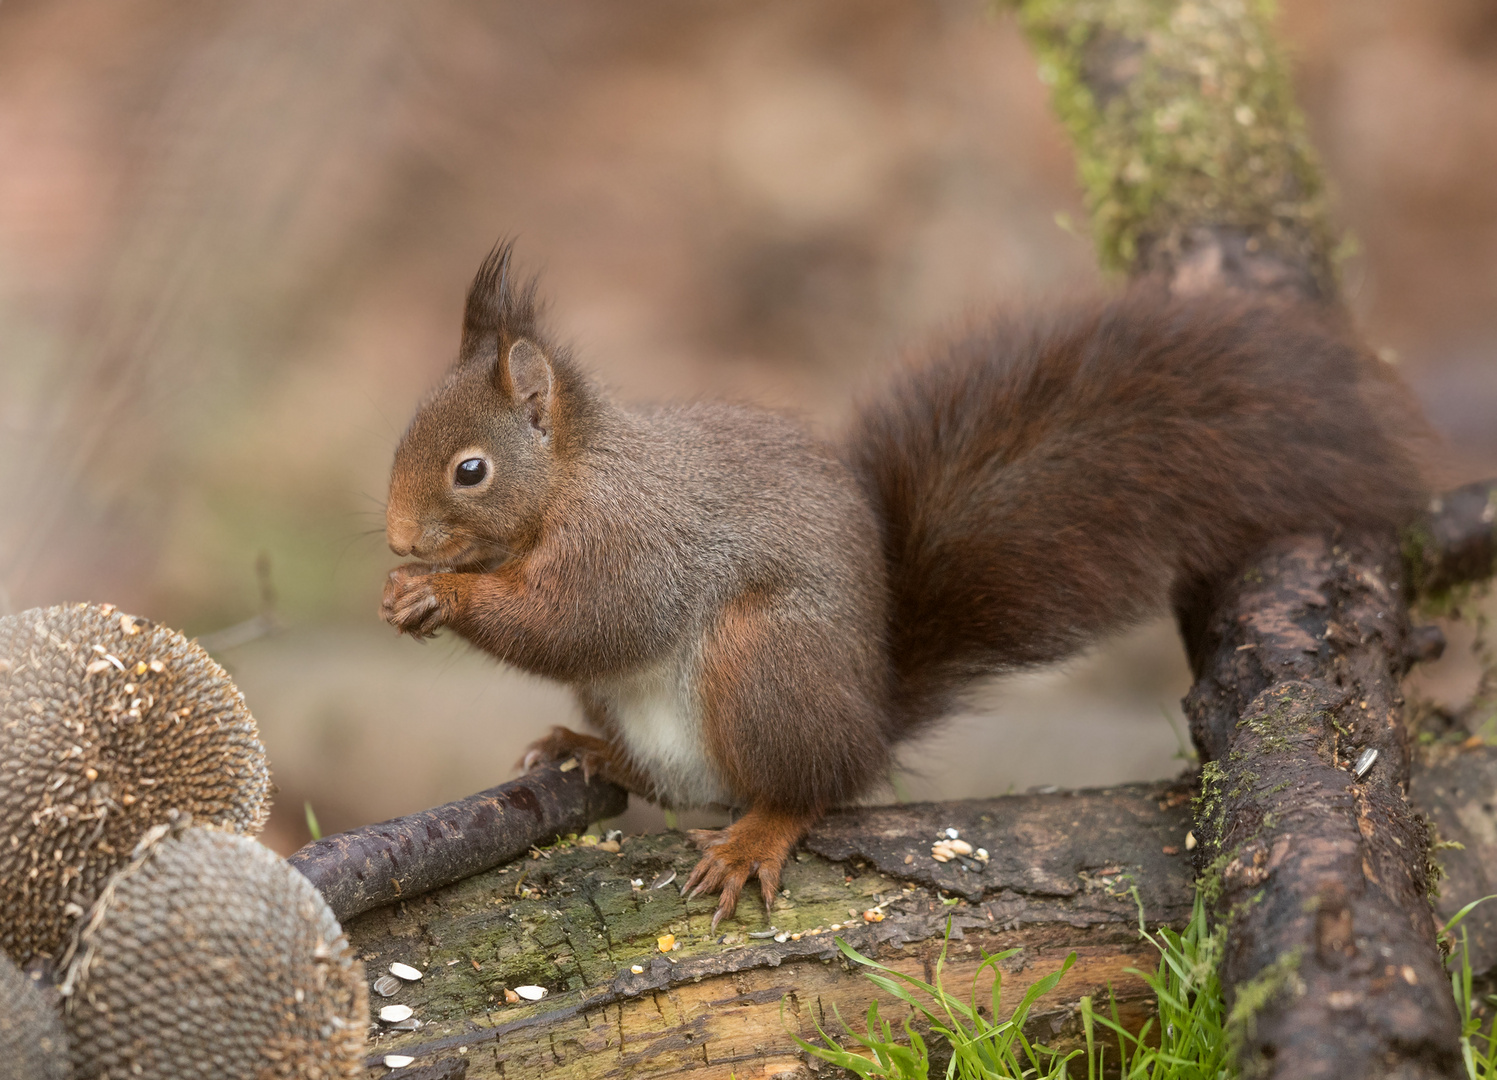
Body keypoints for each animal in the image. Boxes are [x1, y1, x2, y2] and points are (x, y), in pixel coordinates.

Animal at [383, 244, 1425, 928]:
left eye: (470, 470)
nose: (394, 536)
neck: (572, 477)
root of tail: (867, 721)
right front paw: (408, 587)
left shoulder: (628, 544)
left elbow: (582, 621)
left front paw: (442, 594)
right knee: (675, 779)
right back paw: (589, 750)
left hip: (765, 665)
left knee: (800, 791)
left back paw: (755, 837)